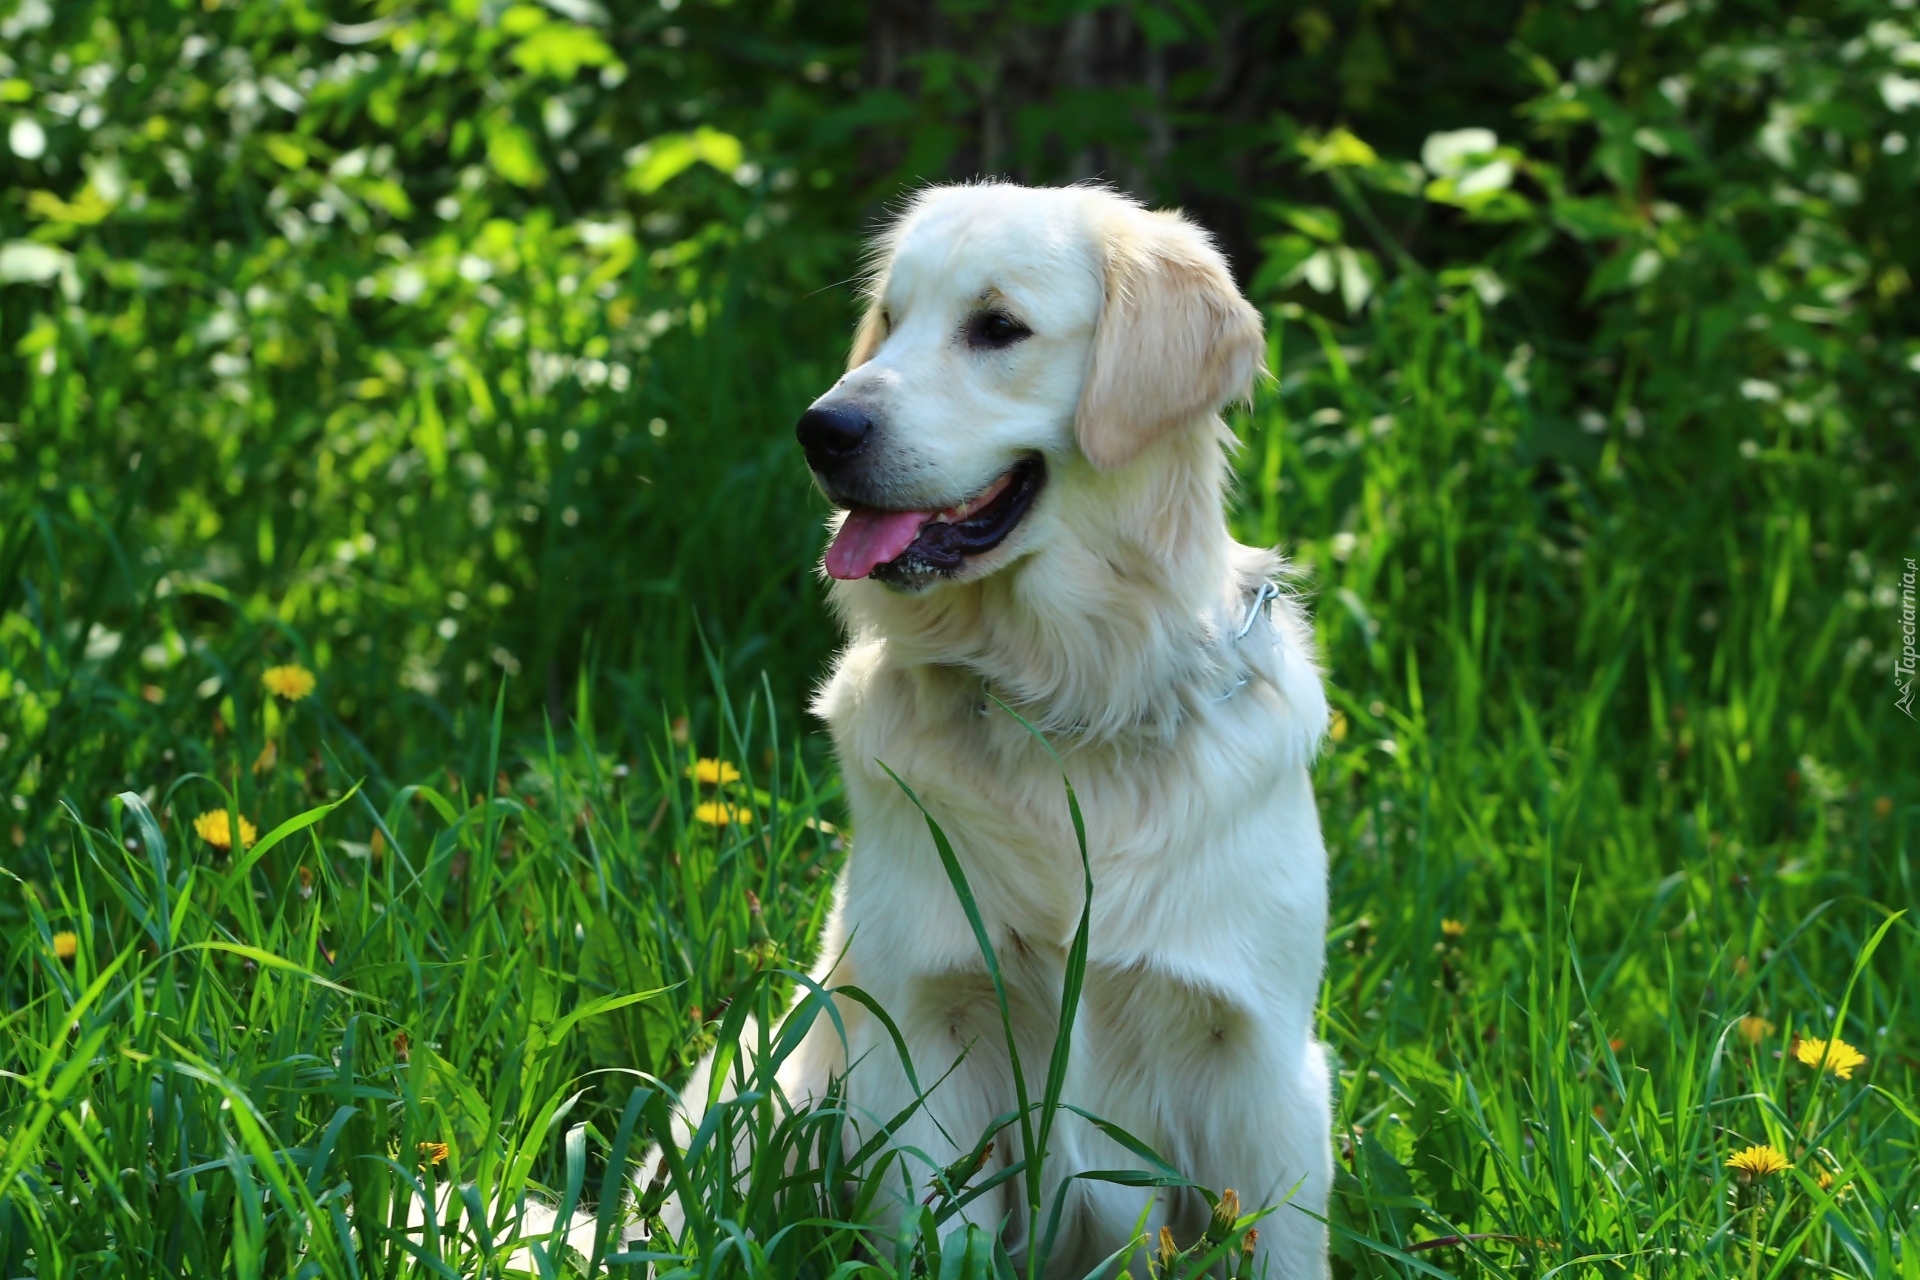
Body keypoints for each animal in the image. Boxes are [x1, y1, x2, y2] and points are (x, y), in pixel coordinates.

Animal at [771, 182, 1328, 1280]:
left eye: (998, 328)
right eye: (891, 318)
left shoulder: (1263, 1069)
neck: (1068, 699)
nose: (823, 428)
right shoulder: (930, 1032)